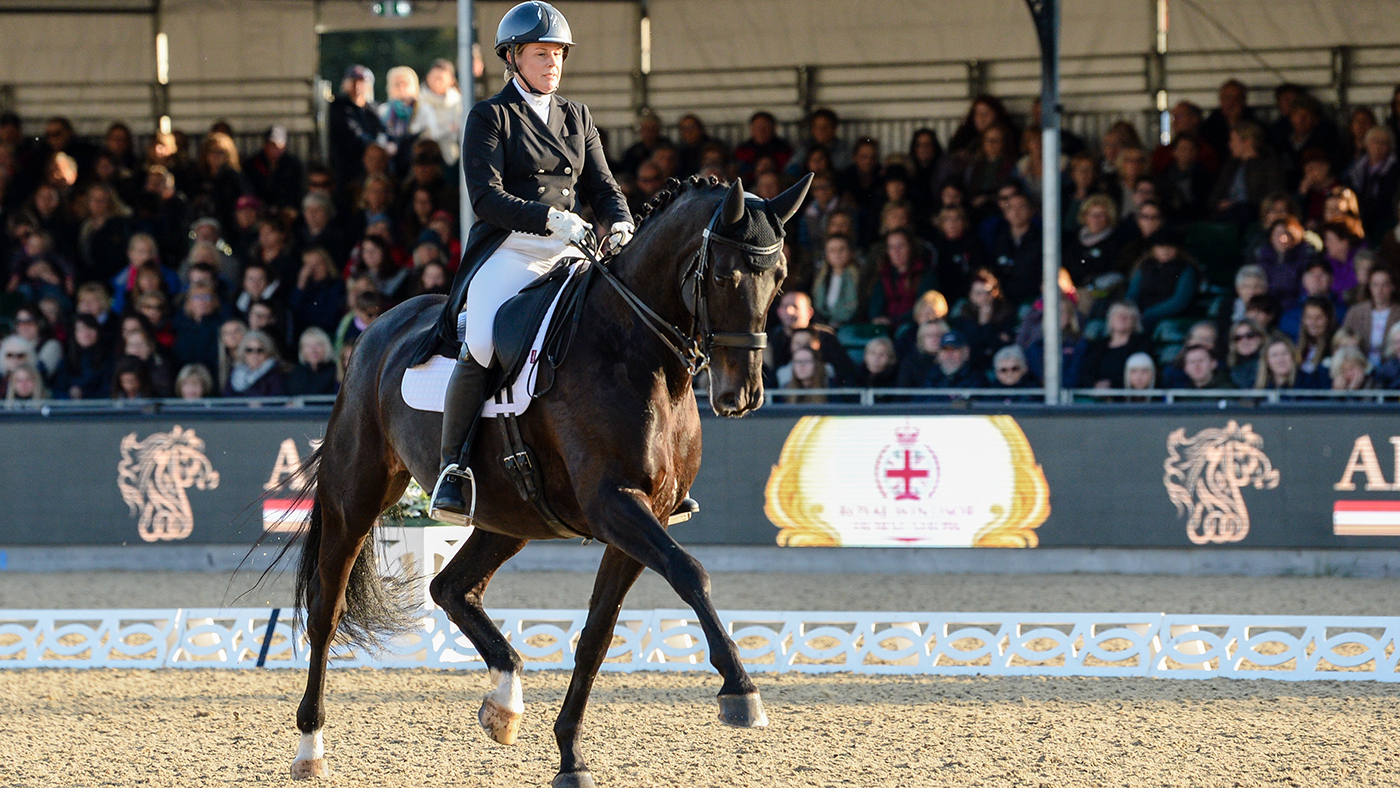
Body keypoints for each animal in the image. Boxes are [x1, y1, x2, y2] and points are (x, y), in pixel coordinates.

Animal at [284, 173, 812, 787]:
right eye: (726, 276)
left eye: (779, 279)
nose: (741, 395)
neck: (635, 352)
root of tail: (380, 329)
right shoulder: (615, 505)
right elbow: (690, 573)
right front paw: (740, 690)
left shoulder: (641, 517)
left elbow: (597, 636)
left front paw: (570, 757)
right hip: (357, 492)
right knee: (327, 608)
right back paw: (310, 745)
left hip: (507, 517)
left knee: (451, 588)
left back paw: (505, 700)